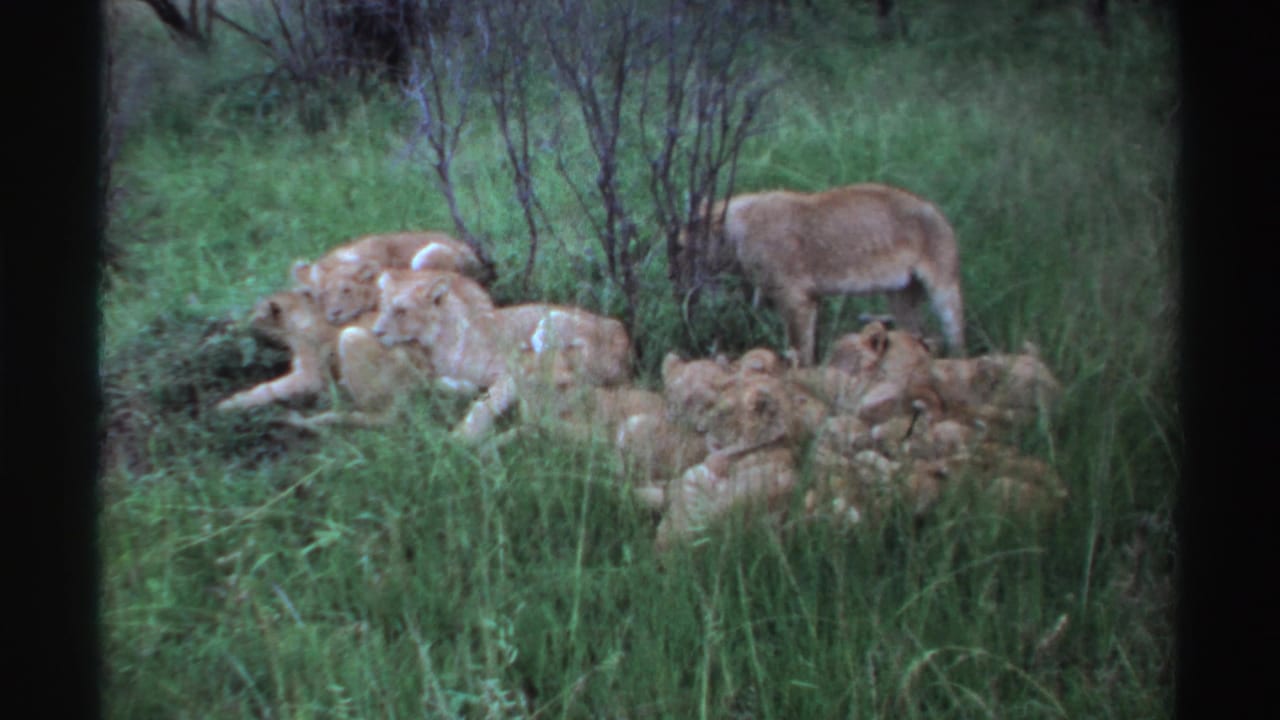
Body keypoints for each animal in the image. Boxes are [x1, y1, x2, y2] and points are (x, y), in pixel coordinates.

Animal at [675, 183, 965, 365]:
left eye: (683, 245)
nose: (677, 274)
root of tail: (937, 210)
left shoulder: (795, 297)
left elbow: (799, 348)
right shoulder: (810, 298)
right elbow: (806, 343)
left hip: (943, 283)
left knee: (955, 332)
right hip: (901, 294)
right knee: (918, 334)